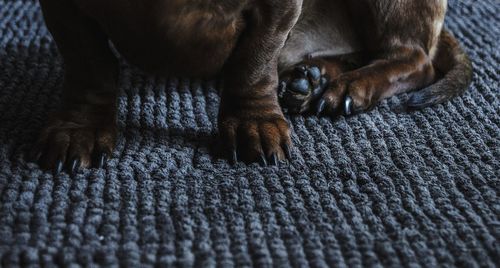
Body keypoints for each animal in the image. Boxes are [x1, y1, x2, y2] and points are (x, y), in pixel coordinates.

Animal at [35, 0, 472, 173]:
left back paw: (349, 86)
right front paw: (81, 128)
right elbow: (89, 66)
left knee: (415, 59)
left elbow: (253, 64)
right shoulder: (65, 11)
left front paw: (253, 124)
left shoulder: (274, 12)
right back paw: (312, 78)